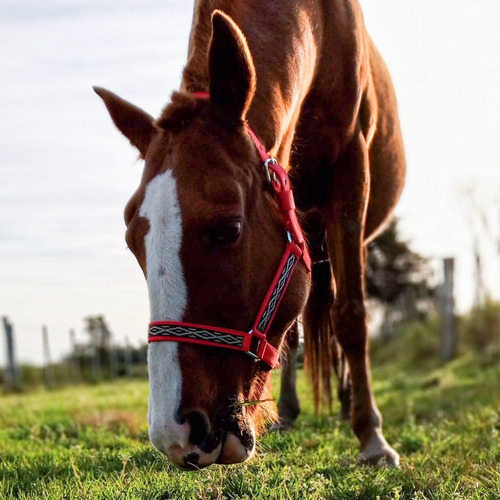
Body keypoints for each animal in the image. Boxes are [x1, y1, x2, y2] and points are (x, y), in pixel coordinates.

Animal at [94, 0, 406, 468]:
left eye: (228, 229)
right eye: (133, 242)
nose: (174, 432)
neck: (319, 26)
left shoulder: (352, 173)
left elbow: (351, 315)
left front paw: (372, 437)